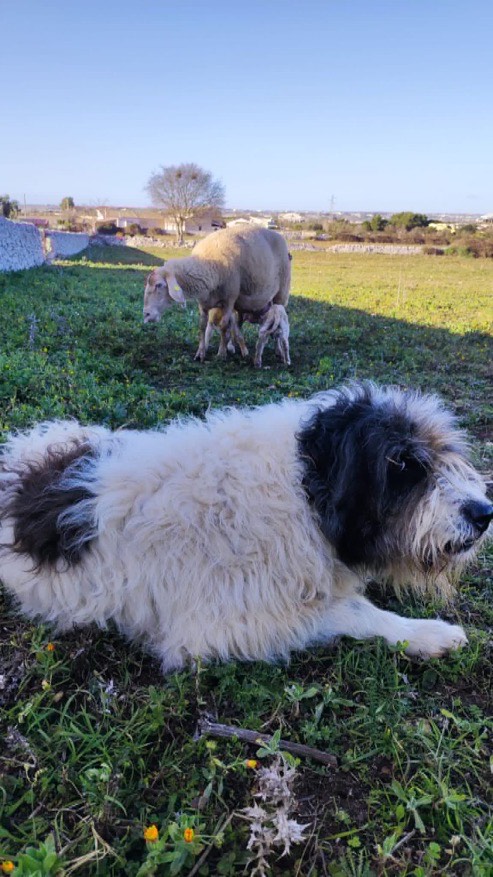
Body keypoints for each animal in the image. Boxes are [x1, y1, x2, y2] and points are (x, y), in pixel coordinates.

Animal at [143, 226, 291, 362]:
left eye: (159, 285)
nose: (146, 314)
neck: (208, 264)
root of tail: (278, 235)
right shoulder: (203, 303)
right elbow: (202, 326)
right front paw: (200, 353)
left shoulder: (229, 300)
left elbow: (224, 326)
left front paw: (221, 353)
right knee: (238, 326)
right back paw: (236, 347)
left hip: (281, 295)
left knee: (278, 325)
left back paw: (278, 351)